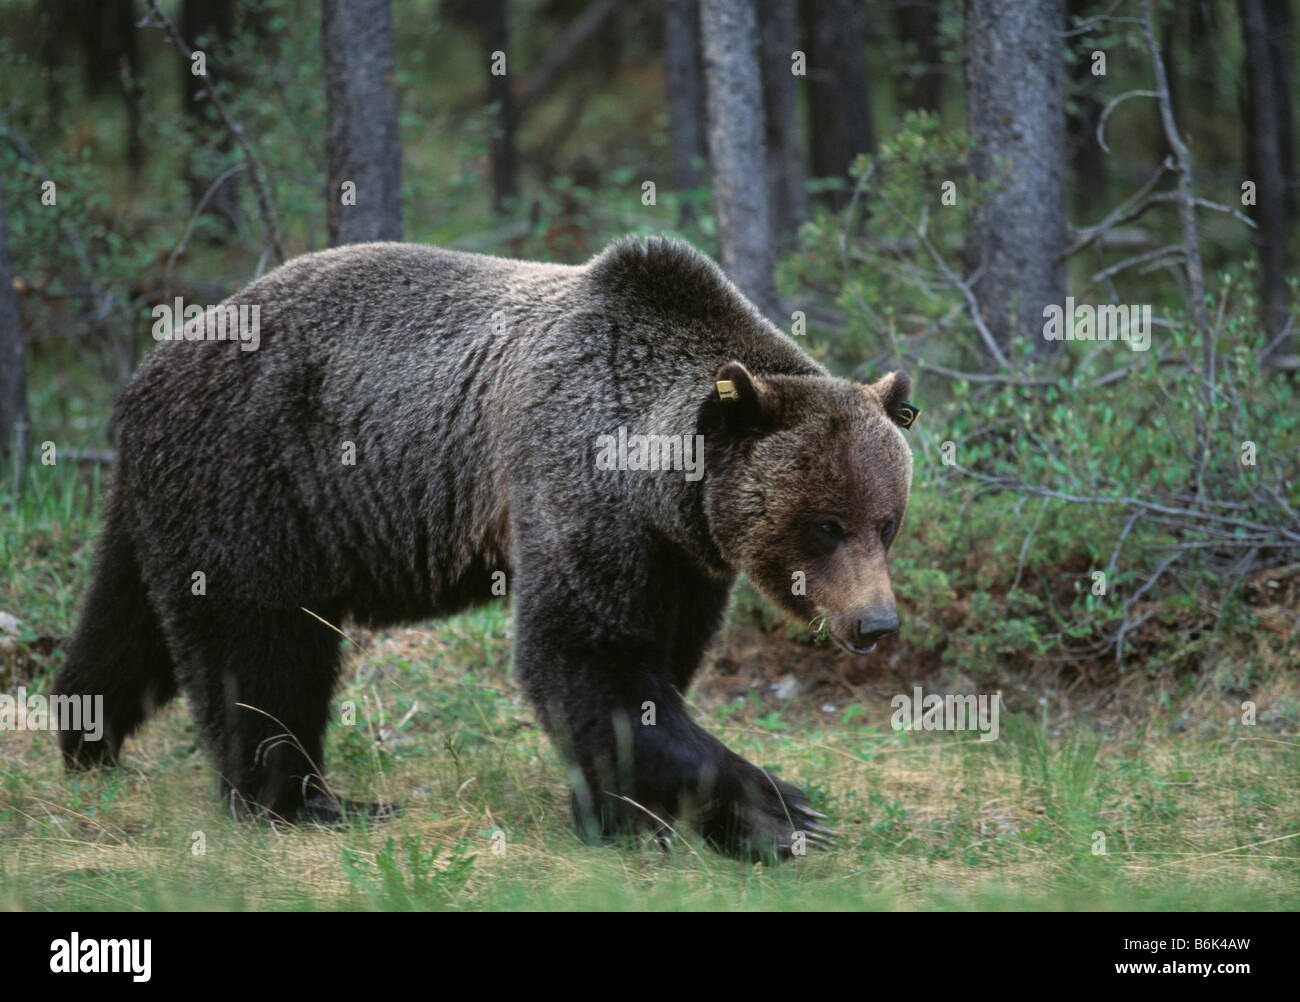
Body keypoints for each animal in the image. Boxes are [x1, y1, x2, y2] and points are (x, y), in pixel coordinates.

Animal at [55, 236, 920, 862]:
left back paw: (86, 738)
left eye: (885, 521)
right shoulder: (574, 484)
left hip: (172, 502)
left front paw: (644, 813)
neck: (658, 485)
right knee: (264, 646)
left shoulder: (681, 558)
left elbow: (651, 669)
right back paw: (309, 802)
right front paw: (779, 811)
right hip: (257, 475)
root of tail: (152, 363)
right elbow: (585, 657)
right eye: (826, 524)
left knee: (128, 623)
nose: (876, 624)